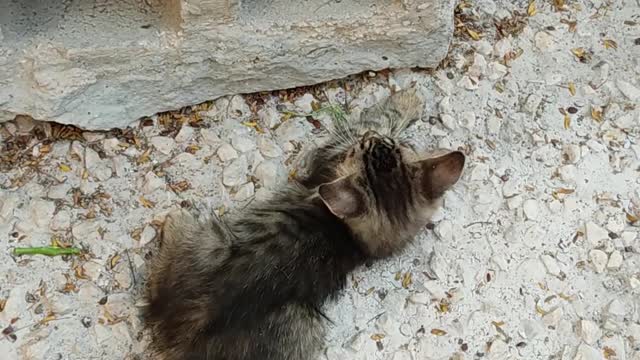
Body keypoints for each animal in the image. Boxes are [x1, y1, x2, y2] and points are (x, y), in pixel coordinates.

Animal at [144, 88, 464, 360]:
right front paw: (409, 101)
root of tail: (179, 333)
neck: (351, 237)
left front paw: (405, 100)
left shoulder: (333, 152)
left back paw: (175, 218)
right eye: (392, 146)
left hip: (216, 244)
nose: (373, 139)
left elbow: (379, 118)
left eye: (367, 147)